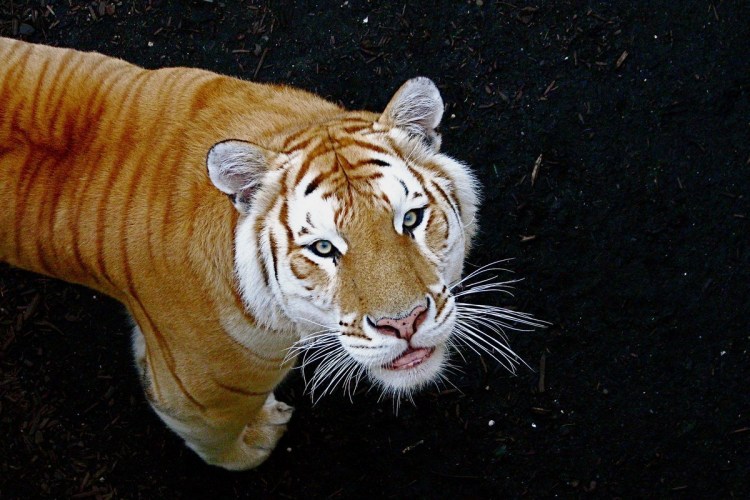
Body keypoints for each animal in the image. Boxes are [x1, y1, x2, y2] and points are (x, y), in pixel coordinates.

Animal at [0, 37, 536, 470]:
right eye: (323, 248)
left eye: (410, 220)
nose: (403, 324)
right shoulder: (193, 398)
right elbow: (217, 443)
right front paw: (252, 446)